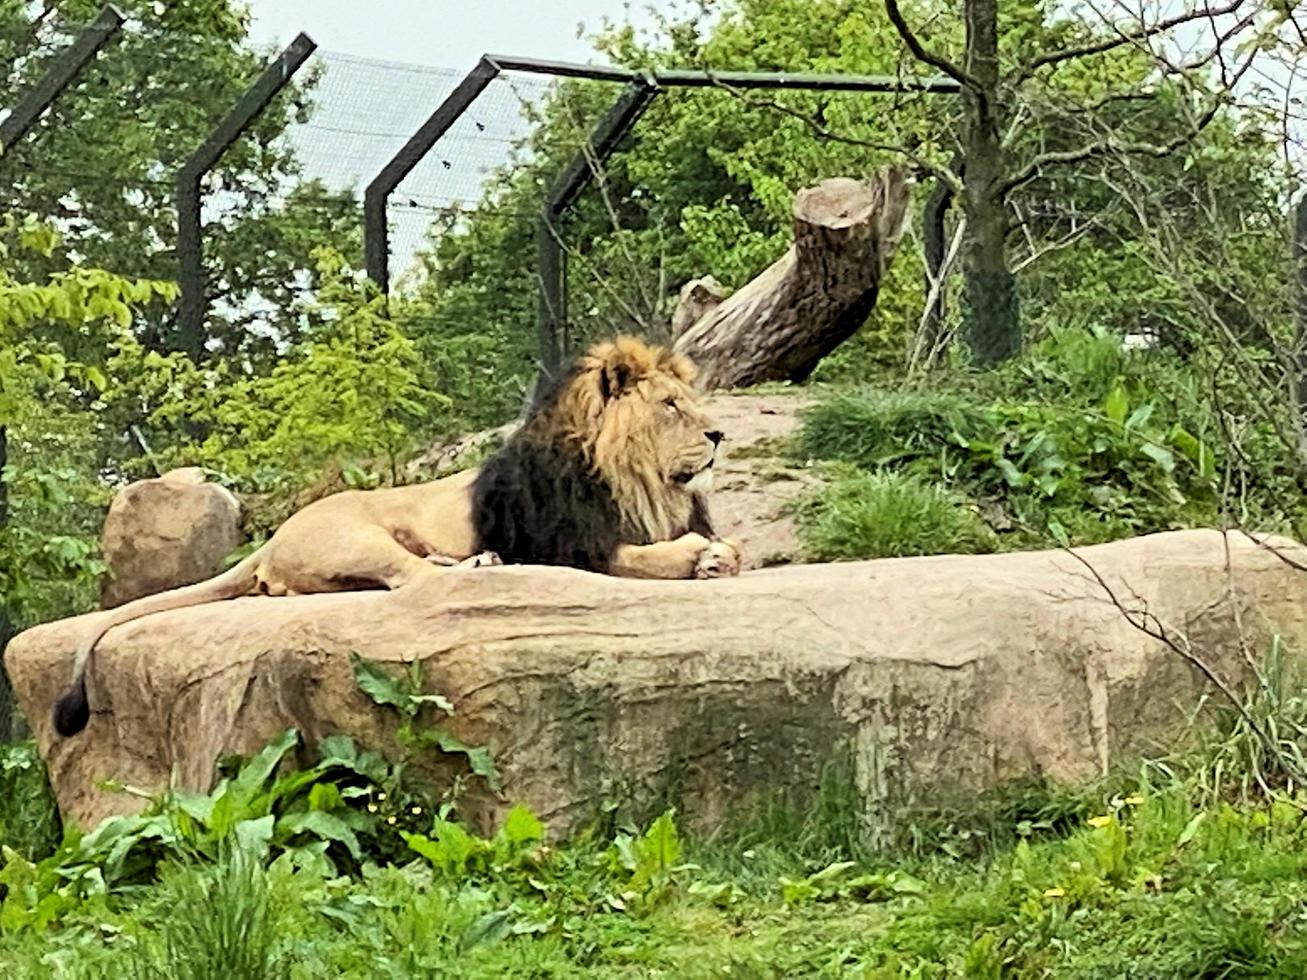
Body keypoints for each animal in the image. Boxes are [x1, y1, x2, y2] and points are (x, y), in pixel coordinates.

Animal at [50, 337, 742, 736]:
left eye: (687, 400)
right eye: (670, 406)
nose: (717, 434)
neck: (637, 481)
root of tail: (272, 538)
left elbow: (725, 546)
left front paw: (720, 555)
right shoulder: (563, 545)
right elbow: (642, 559)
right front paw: (697, 557)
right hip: (360, 534)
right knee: (412, 576)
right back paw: (480, 565)